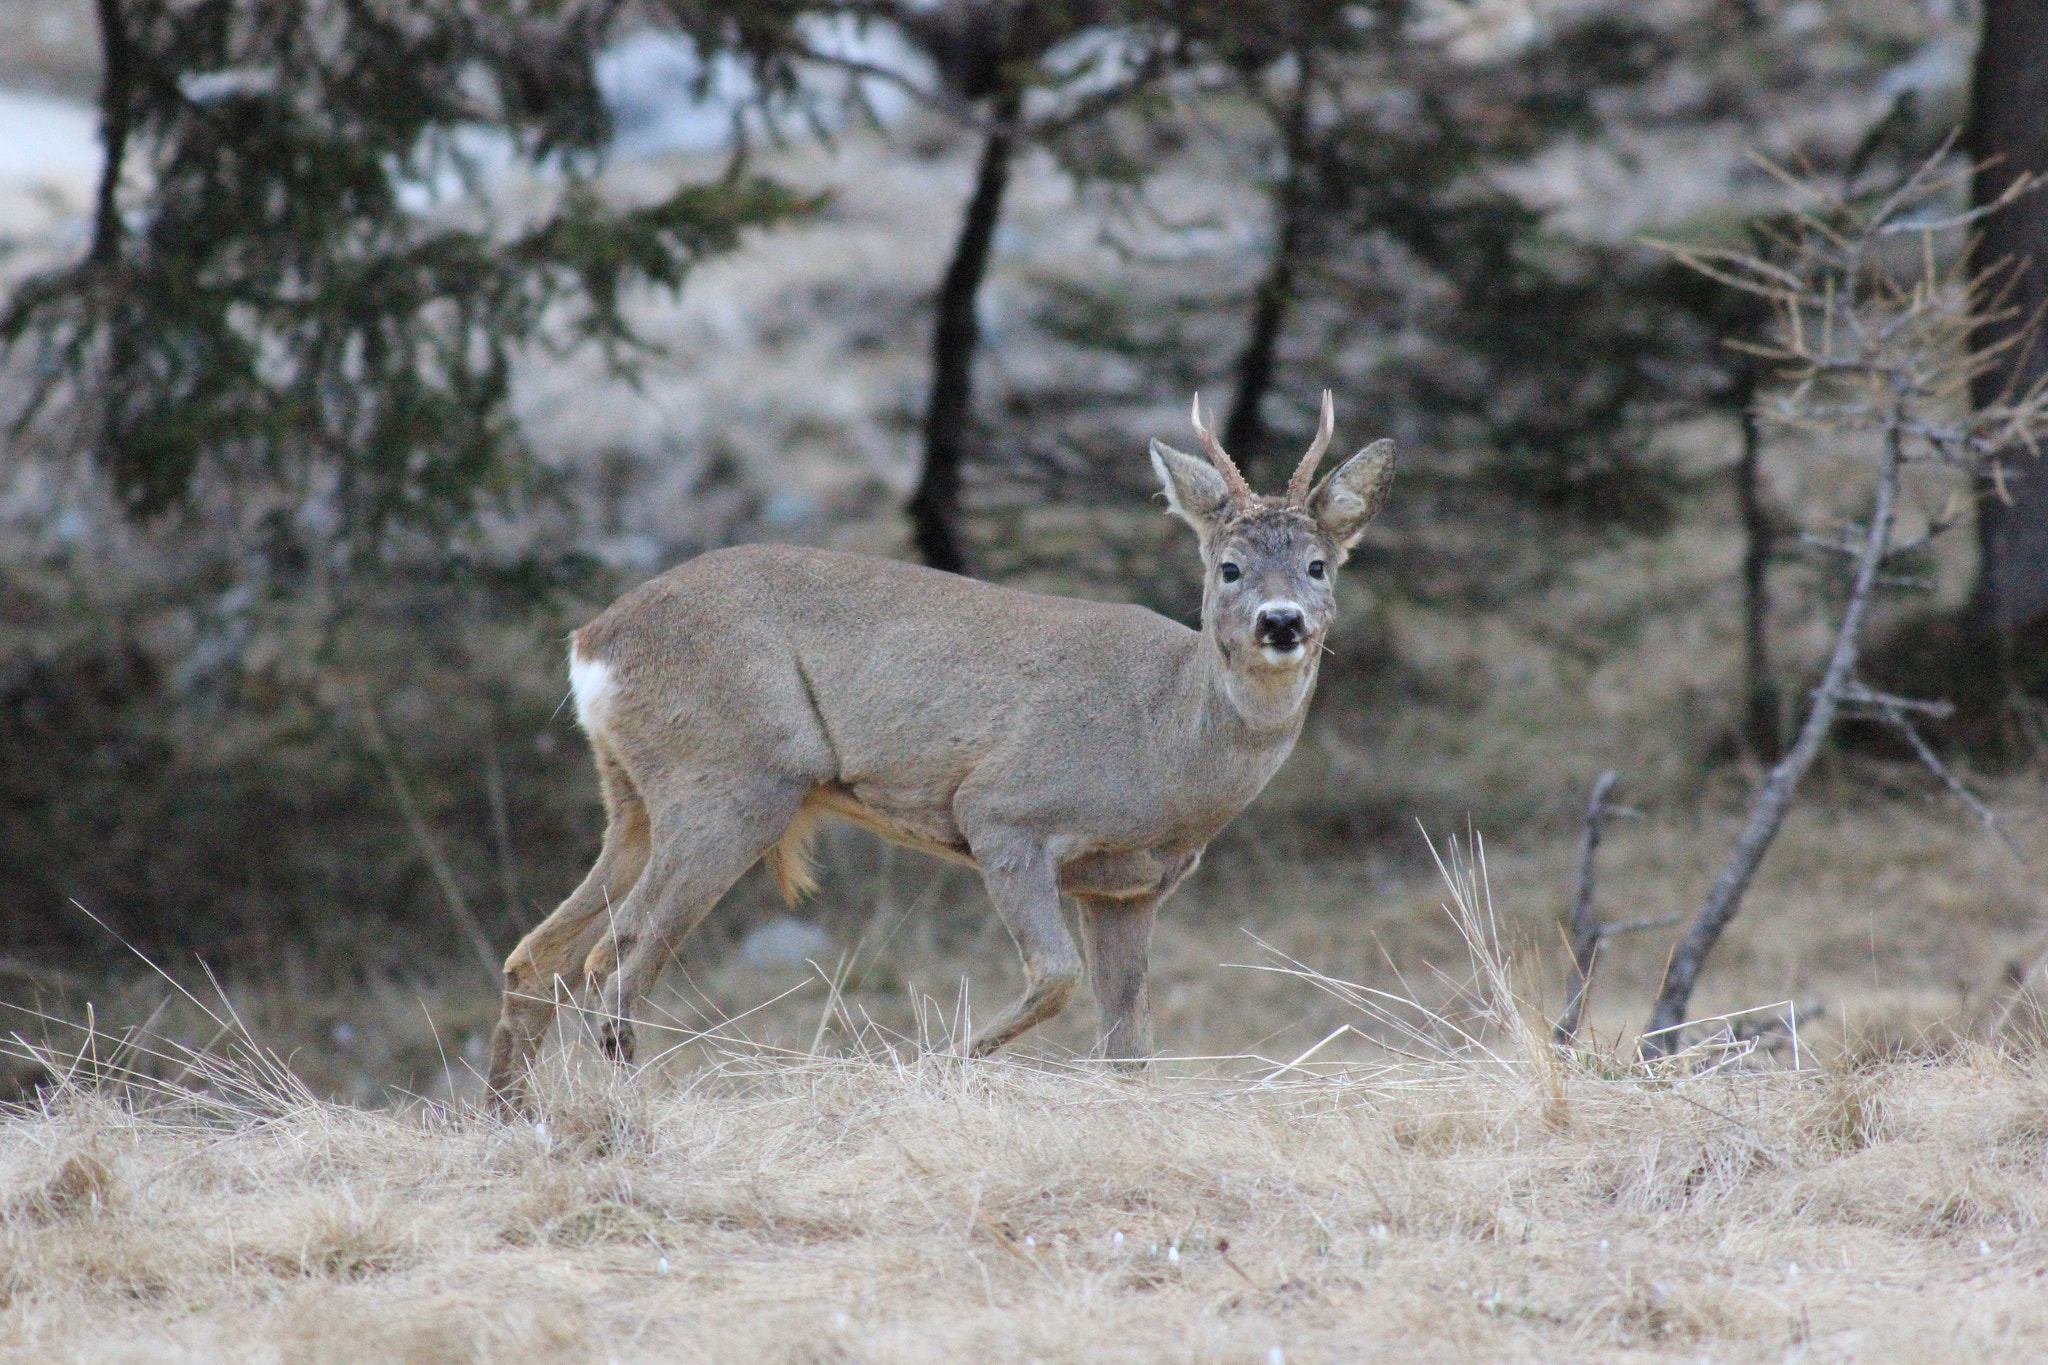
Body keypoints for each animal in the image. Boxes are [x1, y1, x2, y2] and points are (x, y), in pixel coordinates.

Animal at [487, 392, 1400, 1113]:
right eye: (1229, 567)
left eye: (1319, 564)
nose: (1281, 622)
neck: (1166, 743)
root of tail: (592, 642)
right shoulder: (1005, 814)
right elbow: (1053, 977)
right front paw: (932, 1066)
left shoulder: (1130, 888)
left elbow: (1129, 1042)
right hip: (729, 779)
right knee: (617, 955)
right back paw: (628, 1104)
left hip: (637, 794)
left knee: (538, 954)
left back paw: (510, 1116)